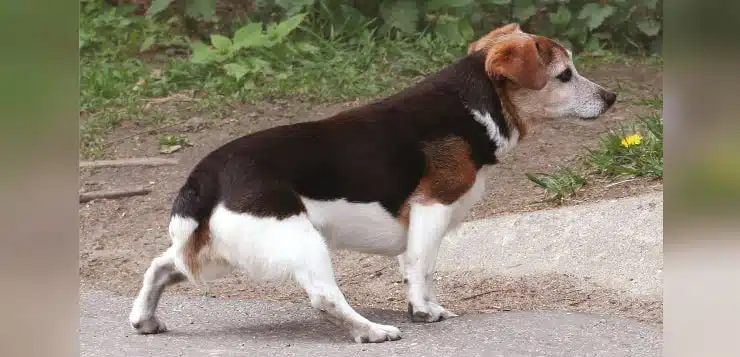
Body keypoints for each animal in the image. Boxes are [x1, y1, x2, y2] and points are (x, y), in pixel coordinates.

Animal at [129, 23, 620, 340]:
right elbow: (422, 268)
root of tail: (206, 174)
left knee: (160, 266)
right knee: (324, 296)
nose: (612, 96)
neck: (471, 104)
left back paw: (144, 318)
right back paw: (371, 330)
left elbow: (420, 270)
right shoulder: (433, 208)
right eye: (564, 75)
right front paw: (423, 312)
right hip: (295, 238)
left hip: (218, 252)